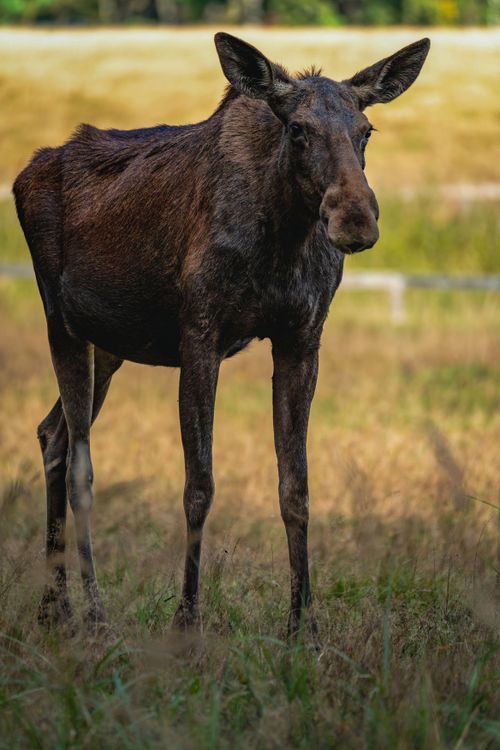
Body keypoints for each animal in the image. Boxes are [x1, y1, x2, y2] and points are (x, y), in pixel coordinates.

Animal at [13, 32, 430, 638]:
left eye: (366, 130)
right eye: (297, 129)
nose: (355, 219)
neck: (282, 236)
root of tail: (25, 173)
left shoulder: (303, 337)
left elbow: (296, 486)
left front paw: (303, 625)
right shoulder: (200, 332)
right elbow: (199, 485)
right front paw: (187, 619)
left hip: (109, 344)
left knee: (53, 434)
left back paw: (53, 607)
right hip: (59, 318)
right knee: (79, 466)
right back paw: (92, 612)